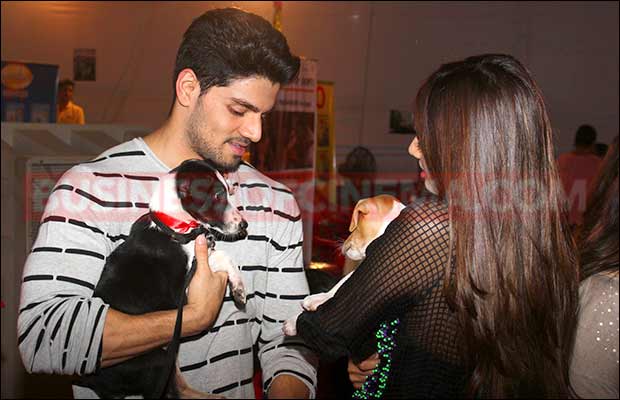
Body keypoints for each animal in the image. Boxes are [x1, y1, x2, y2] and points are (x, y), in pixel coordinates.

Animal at [80, 159, 248, 398]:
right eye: (217, 195)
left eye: (228, 190)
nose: (244, 225)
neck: (177, 227)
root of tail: (91, 380)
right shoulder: (182, 292)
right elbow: (221, 256)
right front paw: (239, 289)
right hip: (156, 361)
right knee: (170, 392)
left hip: (168, 358)